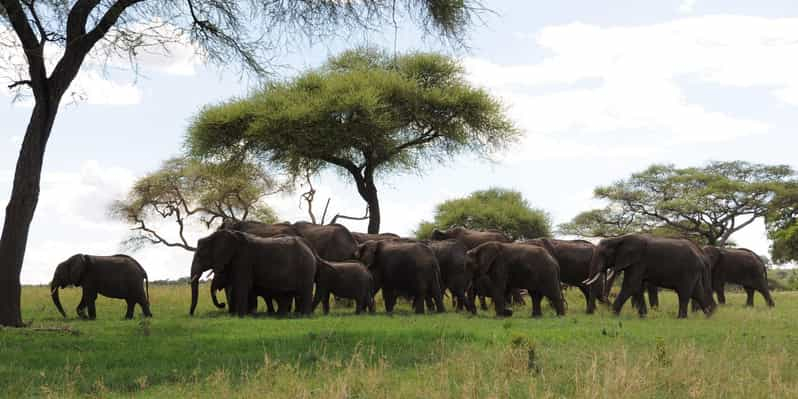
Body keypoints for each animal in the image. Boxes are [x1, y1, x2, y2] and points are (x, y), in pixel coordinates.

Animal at [584, 234, 716, 318]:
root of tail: (701, 257)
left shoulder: (638, 261)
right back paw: (709, 315)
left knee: (684, 293)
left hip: (689, 270)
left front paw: (612, 315)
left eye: (604, 254)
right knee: (697, 292)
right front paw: (643, 316)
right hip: (693, 272)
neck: (619, 239)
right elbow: (637, 287)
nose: (591, 313)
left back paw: (681, 318)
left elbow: (630, 285)